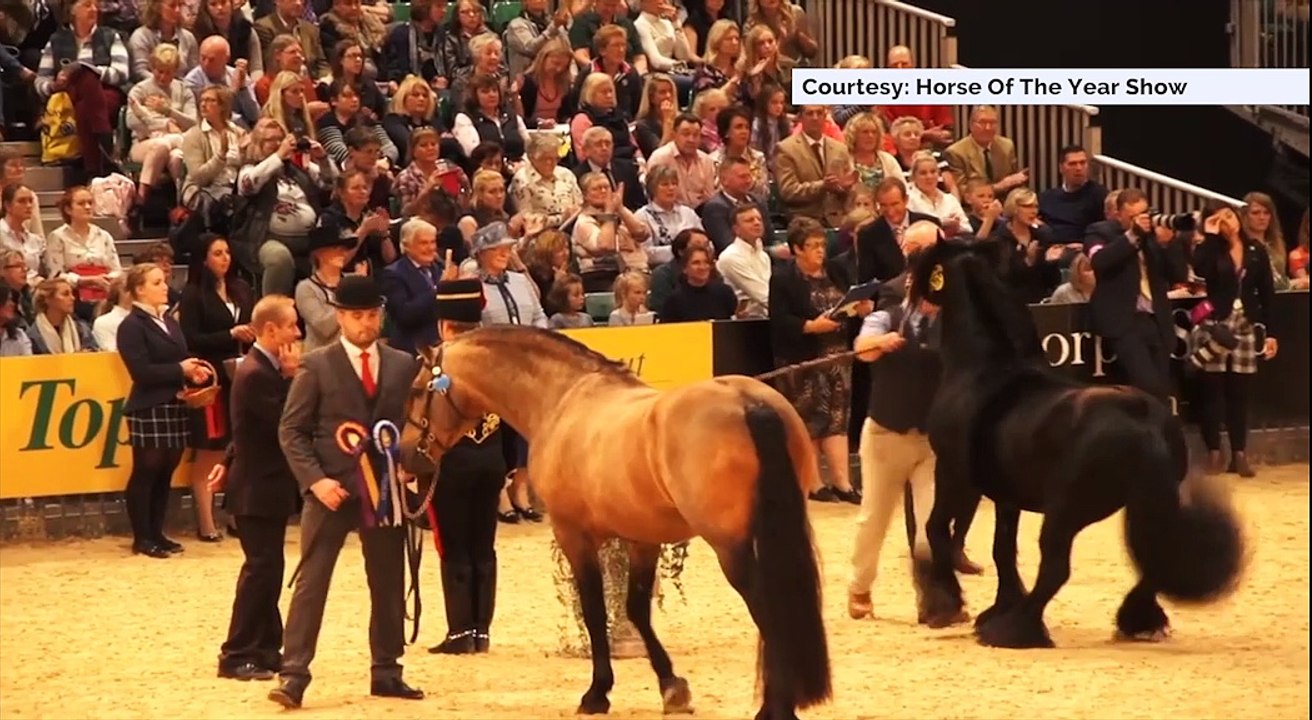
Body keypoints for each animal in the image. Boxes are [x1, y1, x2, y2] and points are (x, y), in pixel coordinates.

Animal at [397, 326, 831, 720]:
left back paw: (776, 706)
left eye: (417, 390)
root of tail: (749, 403)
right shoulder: (643, 537)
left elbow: (594, 610)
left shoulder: (574, 535)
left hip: (731, 547)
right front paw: (672, 687)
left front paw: (596, 693)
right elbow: (636, 609)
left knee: (768, 610)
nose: (406, 456)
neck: (562, 401)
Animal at [904, 236, 1246, 648]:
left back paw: (1012, 630)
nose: (910, 299)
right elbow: (1003, 549)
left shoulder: (955, 474)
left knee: (1056, 569)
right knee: (1157, 559)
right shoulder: (1005, 495)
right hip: (1146, 503)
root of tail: (1143, 419)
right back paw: (1137, 622)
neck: (984, 367)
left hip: (1065, 512)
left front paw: (949, 605)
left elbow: (937, 530)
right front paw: (994, 606)